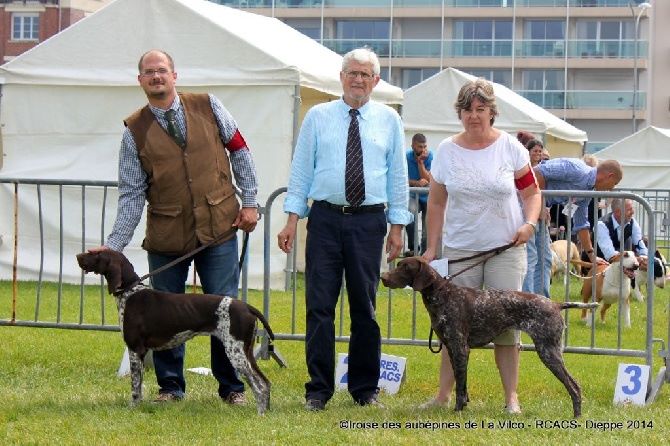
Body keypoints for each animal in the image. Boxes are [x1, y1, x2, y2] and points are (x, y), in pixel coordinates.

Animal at [78, 251, 276, 414]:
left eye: (95, 254)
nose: (78, 256)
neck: (131, 291)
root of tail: (247, 307)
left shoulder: (135, 350)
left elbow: (135, 387)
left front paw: (132, 408)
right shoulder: (140, 353)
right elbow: (139, 386)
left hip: (236, 353)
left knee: (259, 386)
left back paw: (259, 414)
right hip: (246, 352)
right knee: (265, 383)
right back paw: (265, 414)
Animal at [384, 256, 600, 416]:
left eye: (405, 267)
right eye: (398, 265)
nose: (383, 278)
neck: (442, 295)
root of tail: (555, 304)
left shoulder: (460, 348)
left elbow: (460, 386)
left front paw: (458, 410)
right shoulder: (452, 348)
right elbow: (461, 382)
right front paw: (463, 405)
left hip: (548, 351)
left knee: (574, 386)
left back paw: (577, 417)